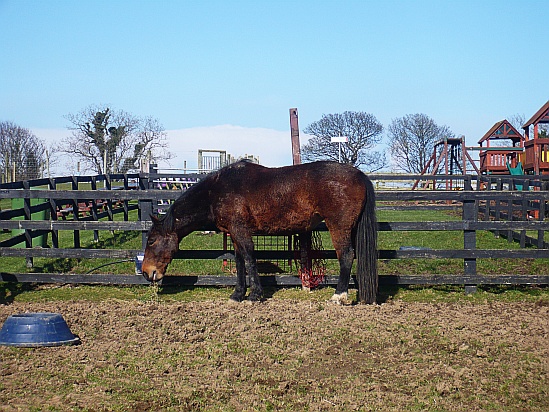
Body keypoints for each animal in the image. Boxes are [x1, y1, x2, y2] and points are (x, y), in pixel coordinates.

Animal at [141, 159, 376, 304]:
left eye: (151, 240)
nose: (146, 272)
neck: (216, 191)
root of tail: (358, 175)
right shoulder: (235, 233)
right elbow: (239, 262)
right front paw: (237, 294)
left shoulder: (241, 231)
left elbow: (249, 259)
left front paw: (254, 295)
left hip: (338, 226)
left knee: (346, 256)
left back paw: (339, 296)